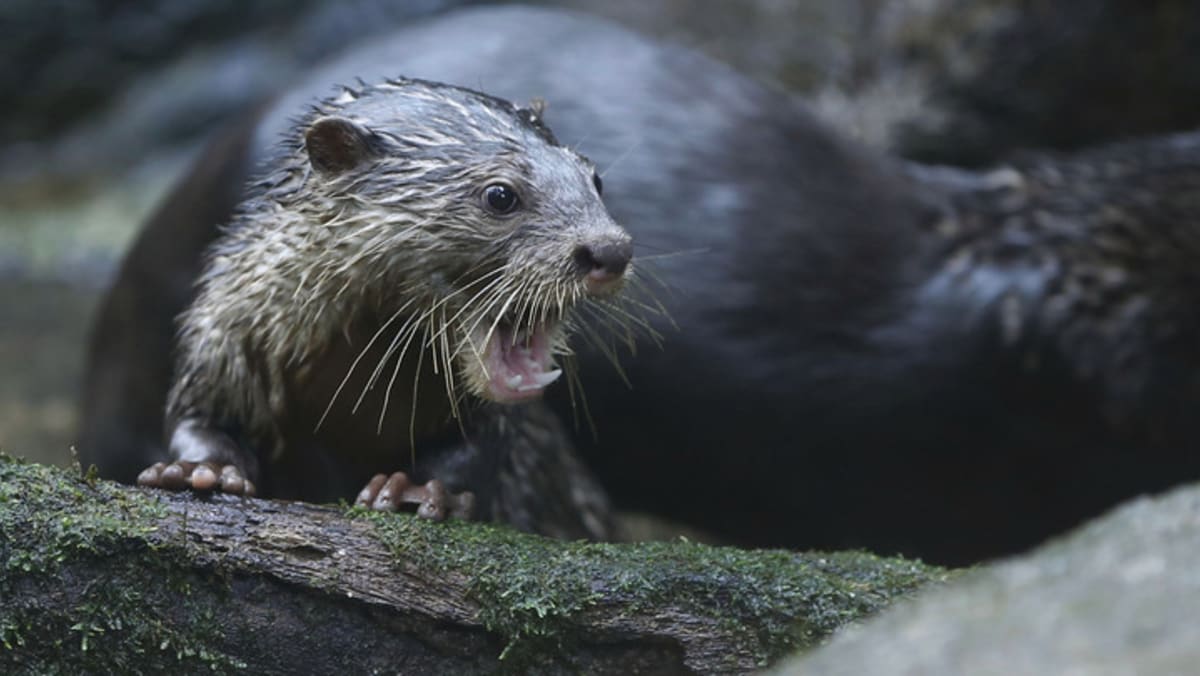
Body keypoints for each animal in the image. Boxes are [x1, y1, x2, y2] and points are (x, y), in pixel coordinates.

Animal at [82, 6, 1200, 563]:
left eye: (595, 177)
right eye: (499, 194)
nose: (608, 249)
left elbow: (486, 451)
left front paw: (418, 486)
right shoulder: (226, 338)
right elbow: (206, 410)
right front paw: (204, 473)